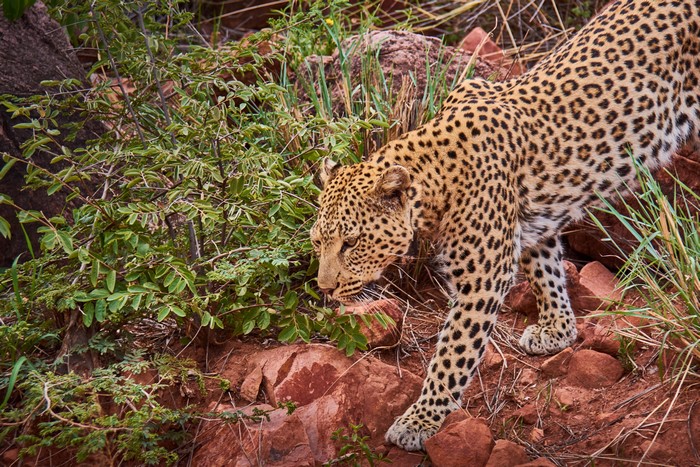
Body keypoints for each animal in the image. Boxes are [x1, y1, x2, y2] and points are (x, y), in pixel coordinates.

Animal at [310, 0, 700, 452]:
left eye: (352, 243)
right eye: (318, 242)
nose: (325, 289)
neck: (434, 176)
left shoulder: (483, 279)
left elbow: (453, 354)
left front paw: (419, 421)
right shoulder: (530, 223)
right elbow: (546, 271)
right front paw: (558, 330)